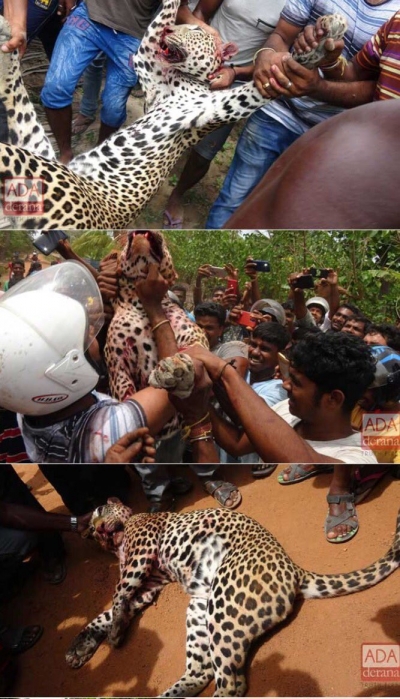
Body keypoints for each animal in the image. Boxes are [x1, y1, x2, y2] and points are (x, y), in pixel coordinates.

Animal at [0, 0, 346, 230]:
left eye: (194, 28)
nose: (171, 30)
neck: (179, 79)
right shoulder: (146, 64)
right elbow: (157, 24)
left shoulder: (223, 103)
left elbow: (282, 72)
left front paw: (327, 36)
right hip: (37, 148)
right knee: (13, 89)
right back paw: (7, 35)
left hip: (40, 171)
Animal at [66, 500, 400, 696]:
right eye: (92, 532)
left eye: (99, 513)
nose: (96, 530)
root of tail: (295, 569)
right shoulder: (147, 585)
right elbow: (109, 611)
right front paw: (81, 648)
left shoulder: (141, 552)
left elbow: (117, 595)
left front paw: (114, 635)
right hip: (200, 609)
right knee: (202, 672)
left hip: (223, 606)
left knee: (232, 684)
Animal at [103, 230, 208, 438]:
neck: (140, 303)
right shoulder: (118, 364)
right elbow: (125, 393)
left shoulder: (193, 335)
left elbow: (195, 349)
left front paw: (177, 368)